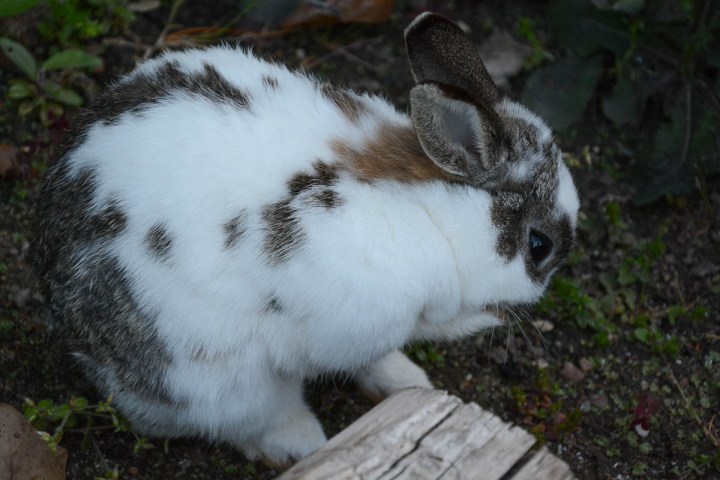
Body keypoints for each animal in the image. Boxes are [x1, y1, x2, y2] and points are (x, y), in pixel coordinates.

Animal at [30, 12, 579, 465]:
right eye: (539, 245)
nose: (544, 288)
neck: (434, 212)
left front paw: (408, 381)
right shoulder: (358, 319)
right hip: (216, 382)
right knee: (251, 419)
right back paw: (302, 445)